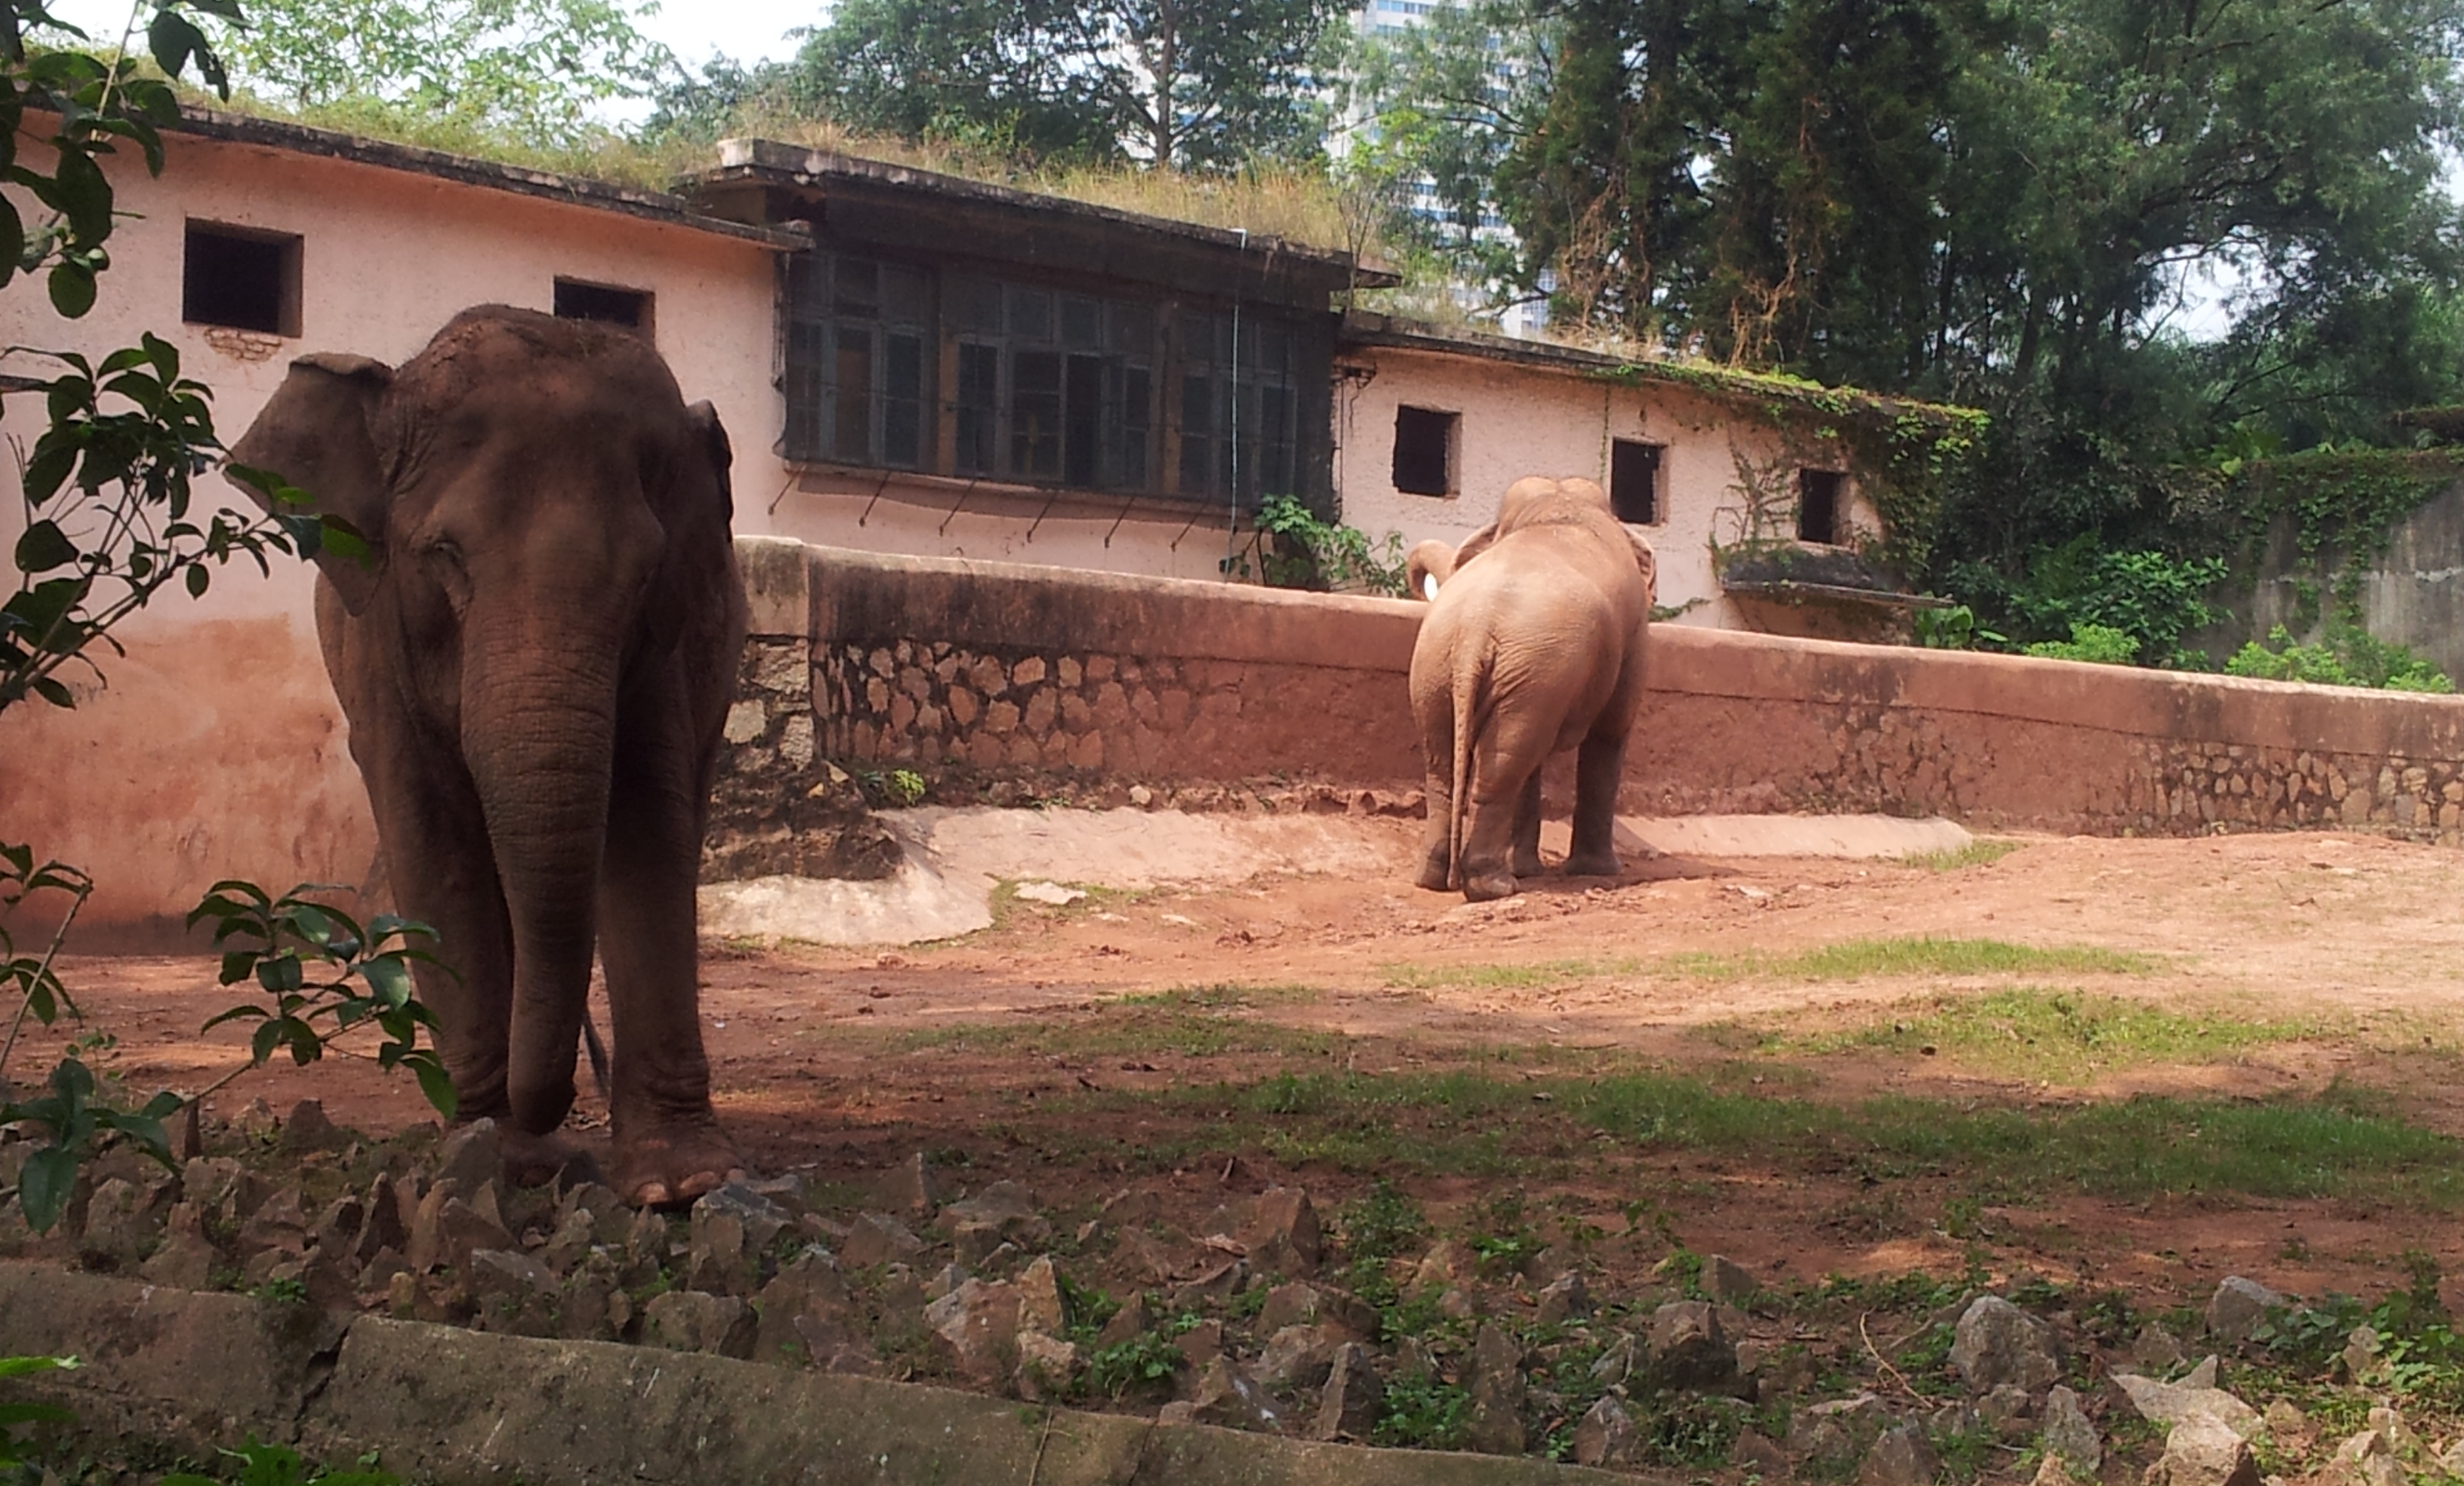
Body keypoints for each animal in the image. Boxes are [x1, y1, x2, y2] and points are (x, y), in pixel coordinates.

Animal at [235, 301, 744, 1207]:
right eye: (444, 556)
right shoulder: (378, 646)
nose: (560, 1109)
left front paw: (681, 1185)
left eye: (647, 573)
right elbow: (435, 844)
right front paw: (501, 1160)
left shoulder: (667, 650)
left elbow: (645, 823)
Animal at [1409, 475, 1656, 902]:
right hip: (1519, 668)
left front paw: (1530, 869)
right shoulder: (1633, 635)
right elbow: (1610, 732)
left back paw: (1438, 879)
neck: (1558, 504)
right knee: (1506, 762)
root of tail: (1476, 627)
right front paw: (1599, 871)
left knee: (1455, 761)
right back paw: (1494, 886)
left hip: (1450, 670)